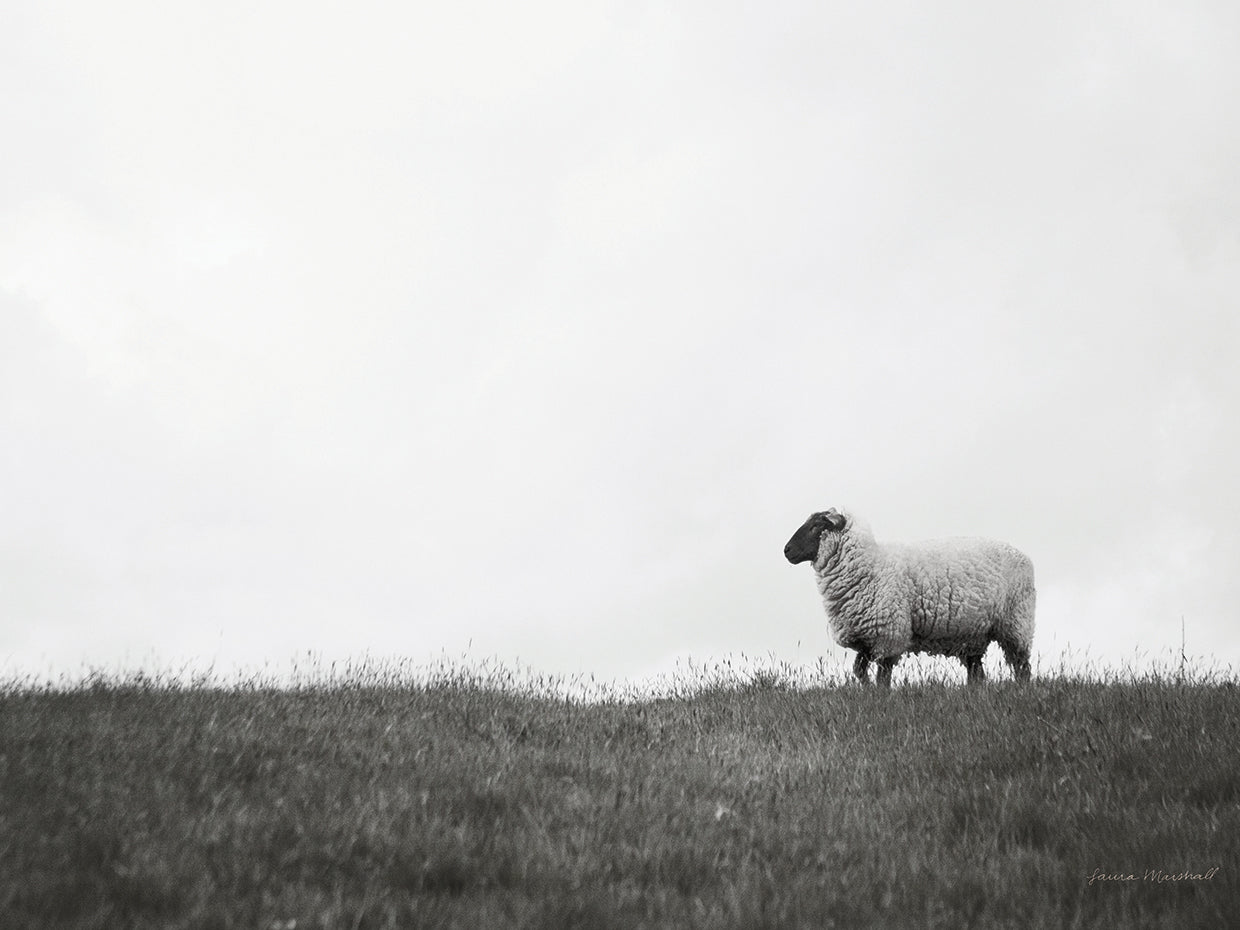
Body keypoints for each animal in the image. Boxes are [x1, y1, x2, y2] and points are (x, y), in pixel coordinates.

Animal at [783, 508, 1035, 687]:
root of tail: (1024, 555)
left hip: (1016, 623)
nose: (786, 550)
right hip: (972, 634)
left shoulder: (890, 634)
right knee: (977, 674)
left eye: (817, 525)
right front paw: (865, 690)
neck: (872, 565)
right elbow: (859, 671)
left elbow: (883, 677)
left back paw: (1021, 690)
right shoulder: (866, 637)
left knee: (1022, 666)